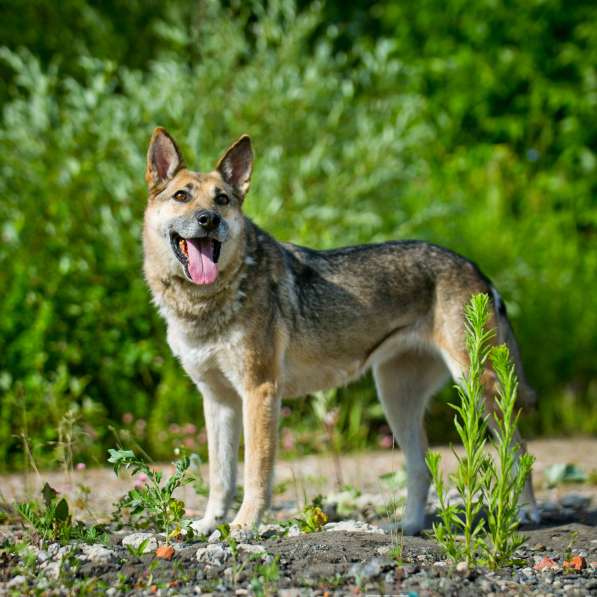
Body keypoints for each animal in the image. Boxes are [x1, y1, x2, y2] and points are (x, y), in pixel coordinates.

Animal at [142, 128, 536, 532]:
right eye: (182, 196)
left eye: (222, 200)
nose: (208, 219)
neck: (205, 303)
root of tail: (476, 269)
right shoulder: (218, 400)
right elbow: (221, 477)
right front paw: (209, 525)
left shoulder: (259, 391)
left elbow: (254, 473)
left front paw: (243, 525)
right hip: (397, 399)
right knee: (421, 468)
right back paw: (407, 528)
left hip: (477, 389)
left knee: (517, 449)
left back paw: (525, 512)